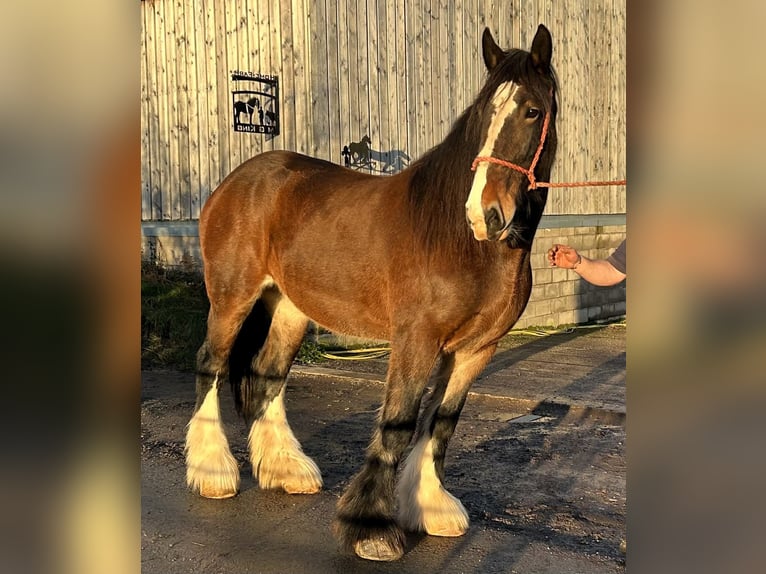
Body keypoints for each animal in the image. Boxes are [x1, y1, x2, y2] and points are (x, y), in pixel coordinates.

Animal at [185, 23, 558, 562]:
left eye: (531, 111)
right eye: (485, 112)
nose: (483, 215)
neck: (460, 241)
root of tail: (235, 182)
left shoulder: (477, 349)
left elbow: (442, 422)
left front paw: (431, 507)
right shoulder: (416, 340)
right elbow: (399, 423)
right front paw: (372, 529)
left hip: (289, 308)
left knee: (268, 373)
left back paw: (286, 469)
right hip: (232, 298)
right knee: (210, 365)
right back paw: (213, 472)